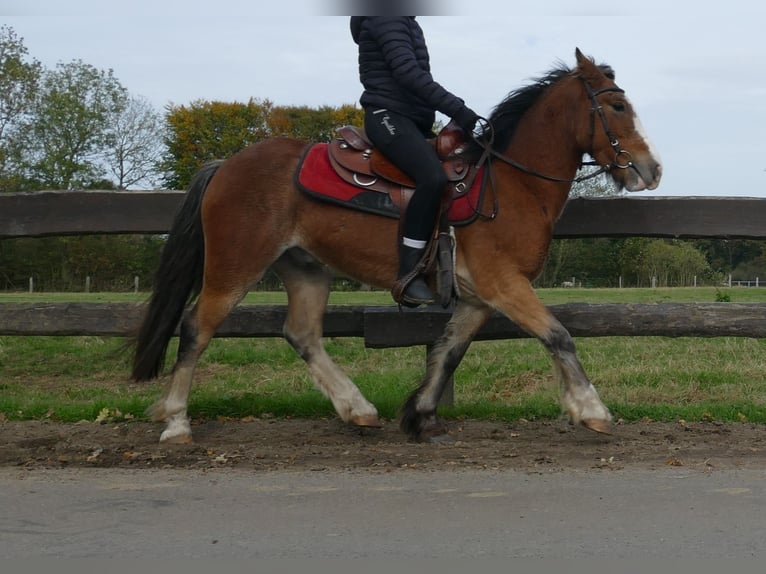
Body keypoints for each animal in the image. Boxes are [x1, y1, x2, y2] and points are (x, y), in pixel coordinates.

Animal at [129, 49, 664, 446]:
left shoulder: (478, 297)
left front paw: (419, 414)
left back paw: (357, 408)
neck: (511, 183)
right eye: (617, 106)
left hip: (306, 268)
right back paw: (176, 421)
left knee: (302, 334)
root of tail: (226, 164)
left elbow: (448, 352)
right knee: (196, 328)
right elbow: (558, 336)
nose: (651, 169)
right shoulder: (504, 284)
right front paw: (591, 409)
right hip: (234, 265)